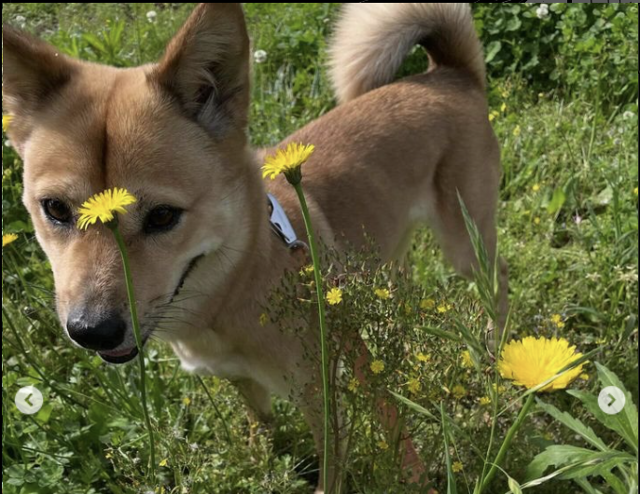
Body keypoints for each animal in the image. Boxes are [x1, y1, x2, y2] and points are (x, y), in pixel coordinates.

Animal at [3, 2, 504, 490]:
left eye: (163, 216)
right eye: (56, 209)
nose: (91, 332)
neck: (239, 281)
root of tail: (447, 73)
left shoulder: (323, 402)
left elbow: (330, 471)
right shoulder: (241, 382)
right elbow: (262, 428)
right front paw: (266, 461)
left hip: (467, 244)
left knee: (496, 293)